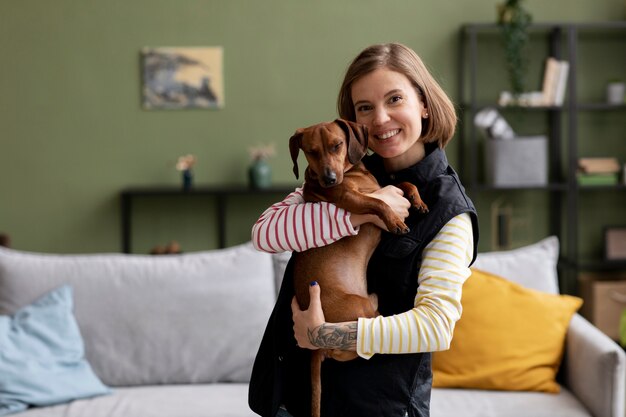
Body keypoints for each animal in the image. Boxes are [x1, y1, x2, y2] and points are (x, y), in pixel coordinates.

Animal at [286, 117, 424, 416]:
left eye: (337, 145)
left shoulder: (384, 186)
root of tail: (316, 347)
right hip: (358, 309)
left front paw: (417, 199)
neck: (352, 175)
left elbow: (404, 183)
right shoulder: (350, 199)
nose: (329, 180)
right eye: (311, 151)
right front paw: (395, 219)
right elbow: (378, 201)